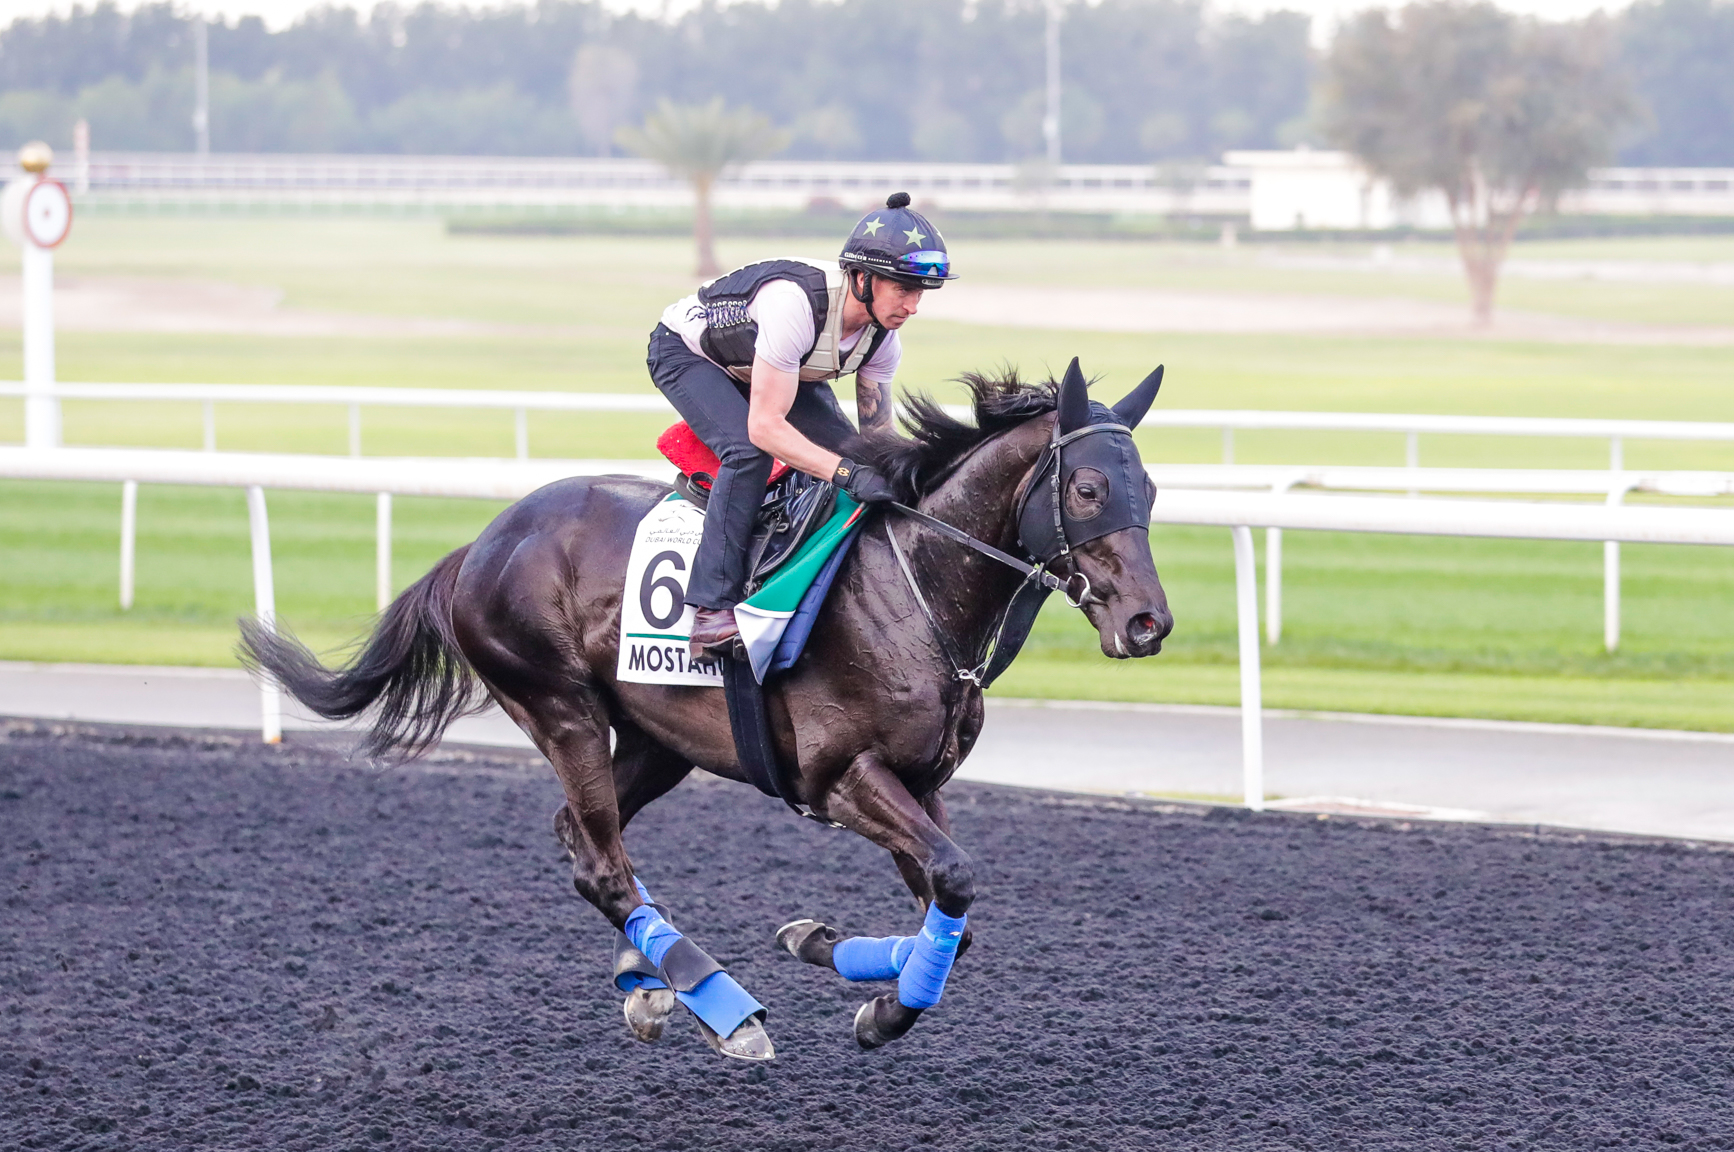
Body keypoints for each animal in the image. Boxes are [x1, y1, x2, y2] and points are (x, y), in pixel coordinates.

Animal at [237, 360, 1172, 1061]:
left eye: (1153, 489)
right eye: (1090, 487)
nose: (1148, 623)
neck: (914, 586)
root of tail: (482, 544)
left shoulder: (923, 781)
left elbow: (952, 908)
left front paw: (830, 957)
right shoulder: (841, 777)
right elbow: (954, 877)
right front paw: (879, 1008)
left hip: (661, 739)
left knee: (585, 840)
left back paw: (649, 985)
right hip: (559, 705)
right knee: (601, 862)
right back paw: (720, 1006)